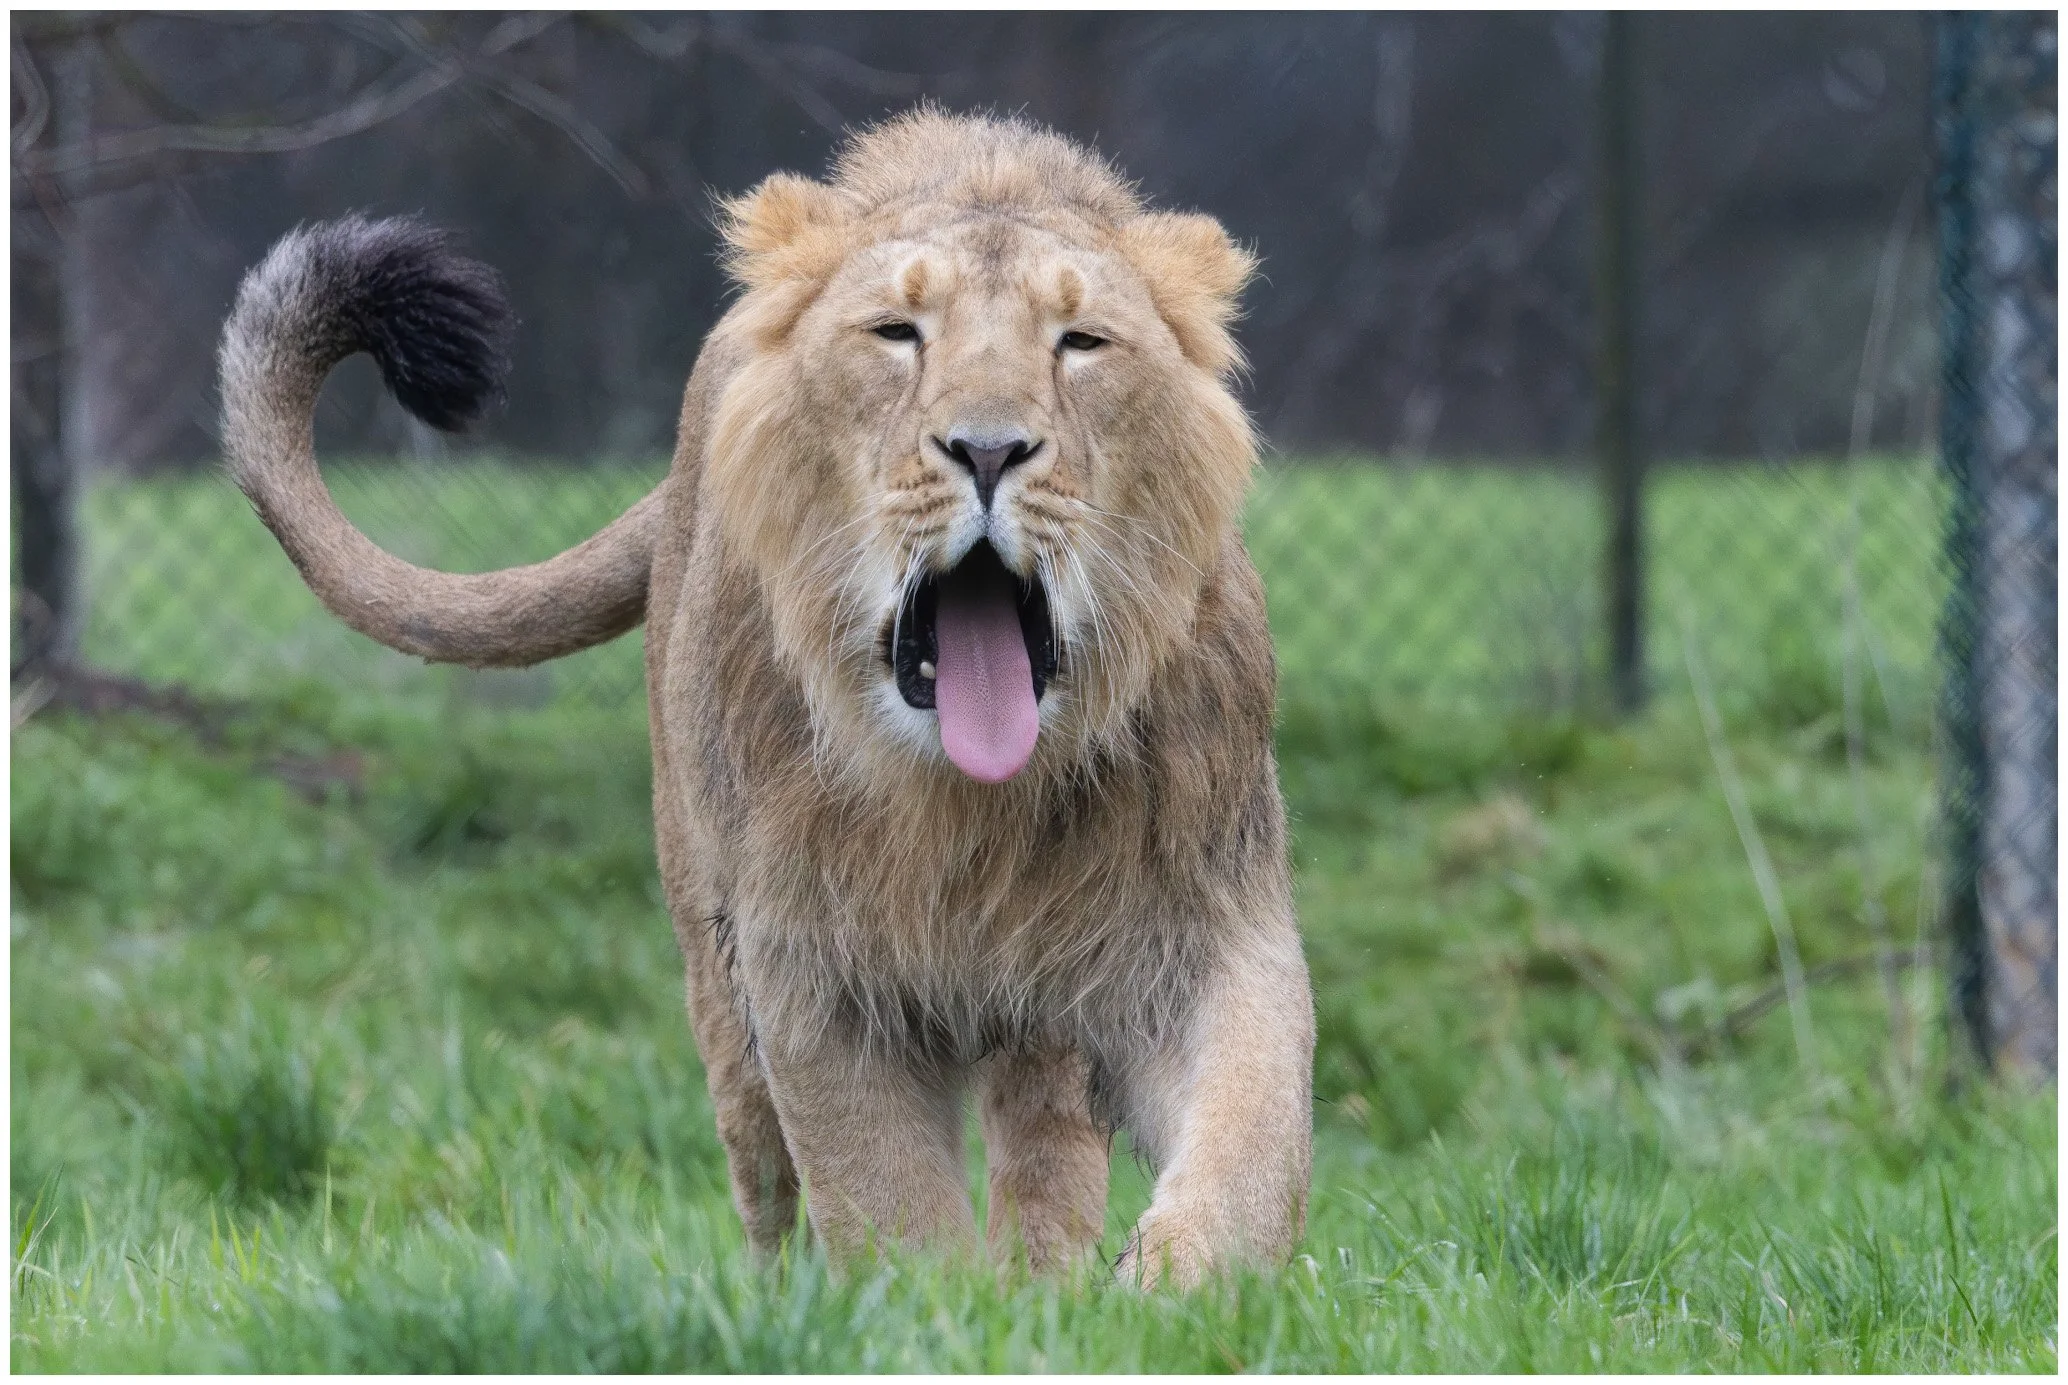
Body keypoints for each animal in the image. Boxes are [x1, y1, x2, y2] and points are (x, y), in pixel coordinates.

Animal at [218, 109, 1313, 1287]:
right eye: (895, 333)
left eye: (1082, 342)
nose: (987, 449)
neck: (966, 803)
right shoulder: (809, 970)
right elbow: (885, 1200)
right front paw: (936, 1310)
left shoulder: (1201, 918)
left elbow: (1256, 1142)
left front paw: (1166, 1292)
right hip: (712, 968)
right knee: (765, 1177)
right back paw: (784, 1295)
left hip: (1038, 1015)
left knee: (1043, 1146)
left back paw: (1049, 1282)